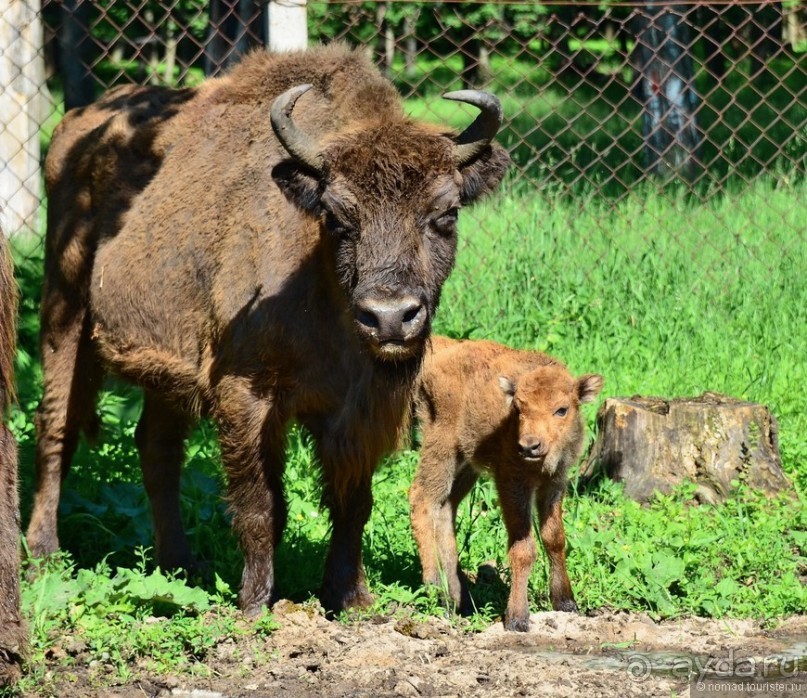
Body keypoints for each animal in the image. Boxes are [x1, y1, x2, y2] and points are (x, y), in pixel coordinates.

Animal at [26, 43, 512, 612]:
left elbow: (353, 503)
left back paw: (180, 563)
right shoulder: (245, 397)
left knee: (157, 447)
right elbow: (262, 505)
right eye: (337, 217)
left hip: (166, 366)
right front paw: (256, 602)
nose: (390, 316)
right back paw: (43, 555)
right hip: (64, 313)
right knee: (55, 427)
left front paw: (351, 596)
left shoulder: (359, 411)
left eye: (446, 214)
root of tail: (76, 126)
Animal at [414, 338, 604, 632]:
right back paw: (436, 589)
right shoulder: (512, 484)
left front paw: (566, 602)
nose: (529, 446)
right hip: (441, 448)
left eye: (562, 409)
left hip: (466, 464)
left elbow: (554, 538)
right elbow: (523, 548)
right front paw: (517, 618)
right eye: (518, 408)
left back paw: (458, 597)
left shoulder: (555, 483)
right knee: (422, 499)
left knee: (446, 508)